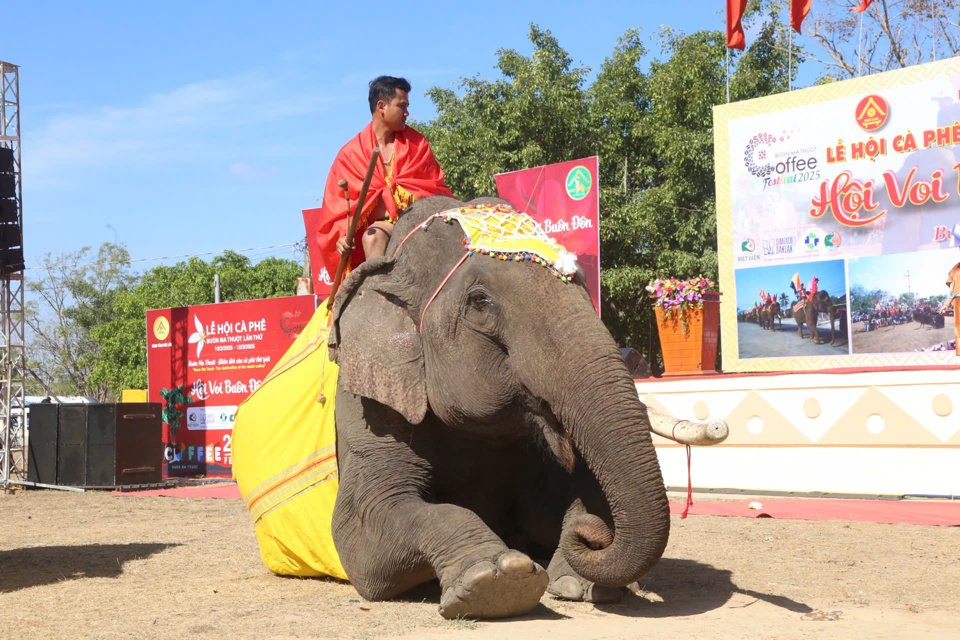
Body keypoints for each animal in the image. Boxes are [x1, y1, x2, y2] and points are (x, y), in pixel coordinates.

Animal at [326, 196, 724, 620]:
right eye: (479, 301)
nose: (594, 540)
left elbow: (573, 498)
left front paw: (578, 585)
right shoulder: (365, 406)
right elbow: (361, 529)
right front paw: (498, 580)